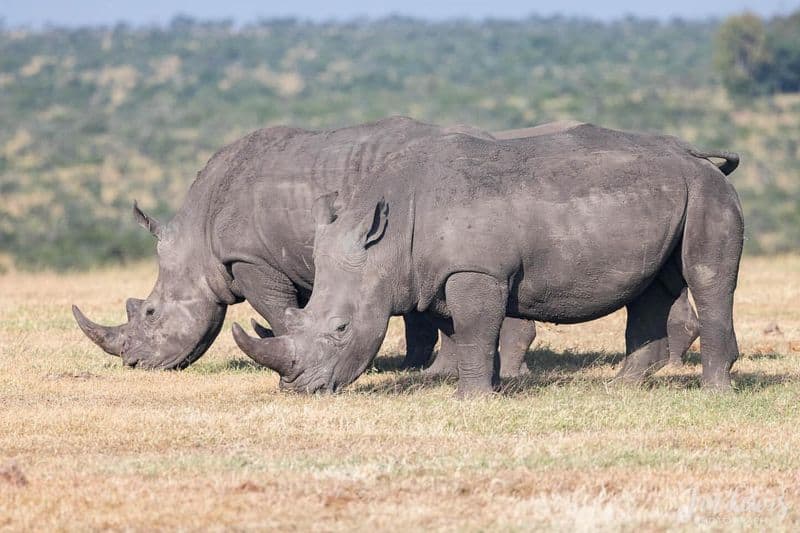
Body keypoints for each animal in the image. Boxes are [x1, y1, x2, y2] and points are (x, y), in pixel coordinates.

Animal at [233, 119, 744, 394]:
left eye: (341, 329)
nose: (298, 389)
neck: (391, 235)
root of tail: (697, 155)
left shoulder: (477, 270)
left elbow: (476, 330)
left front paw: (471, 399)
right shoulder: (443, 274)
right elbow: (468, 332)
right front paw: (493, 389)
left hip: (707, 192)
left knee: (707, 277)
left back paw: (714, 390)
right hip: (666, 195)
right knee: (652, 285)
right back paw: (621, 387)